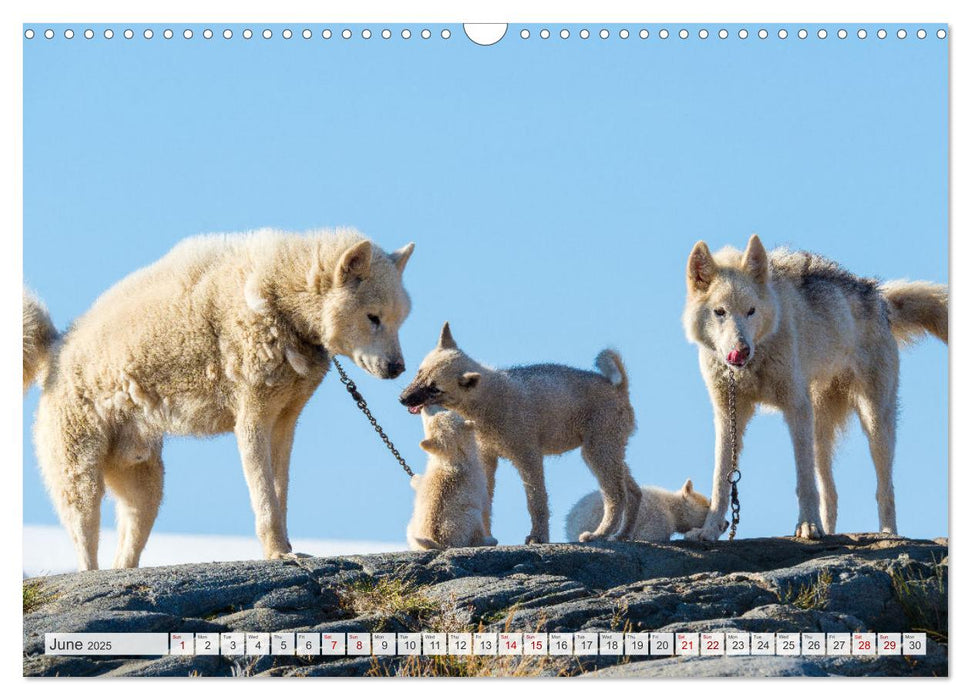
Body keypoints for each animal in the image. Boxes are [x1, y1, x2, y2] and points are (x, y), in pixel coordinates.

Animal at [406, 408, 498, 548]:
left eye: (439, 413)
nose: (424, 407)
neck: (454, 459)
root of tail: (438, 541)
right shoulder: (478, 481)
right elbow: (486, 507)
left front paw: (415, 479)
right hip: (465, 517)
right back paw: (489, 540)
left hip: (412, 526)